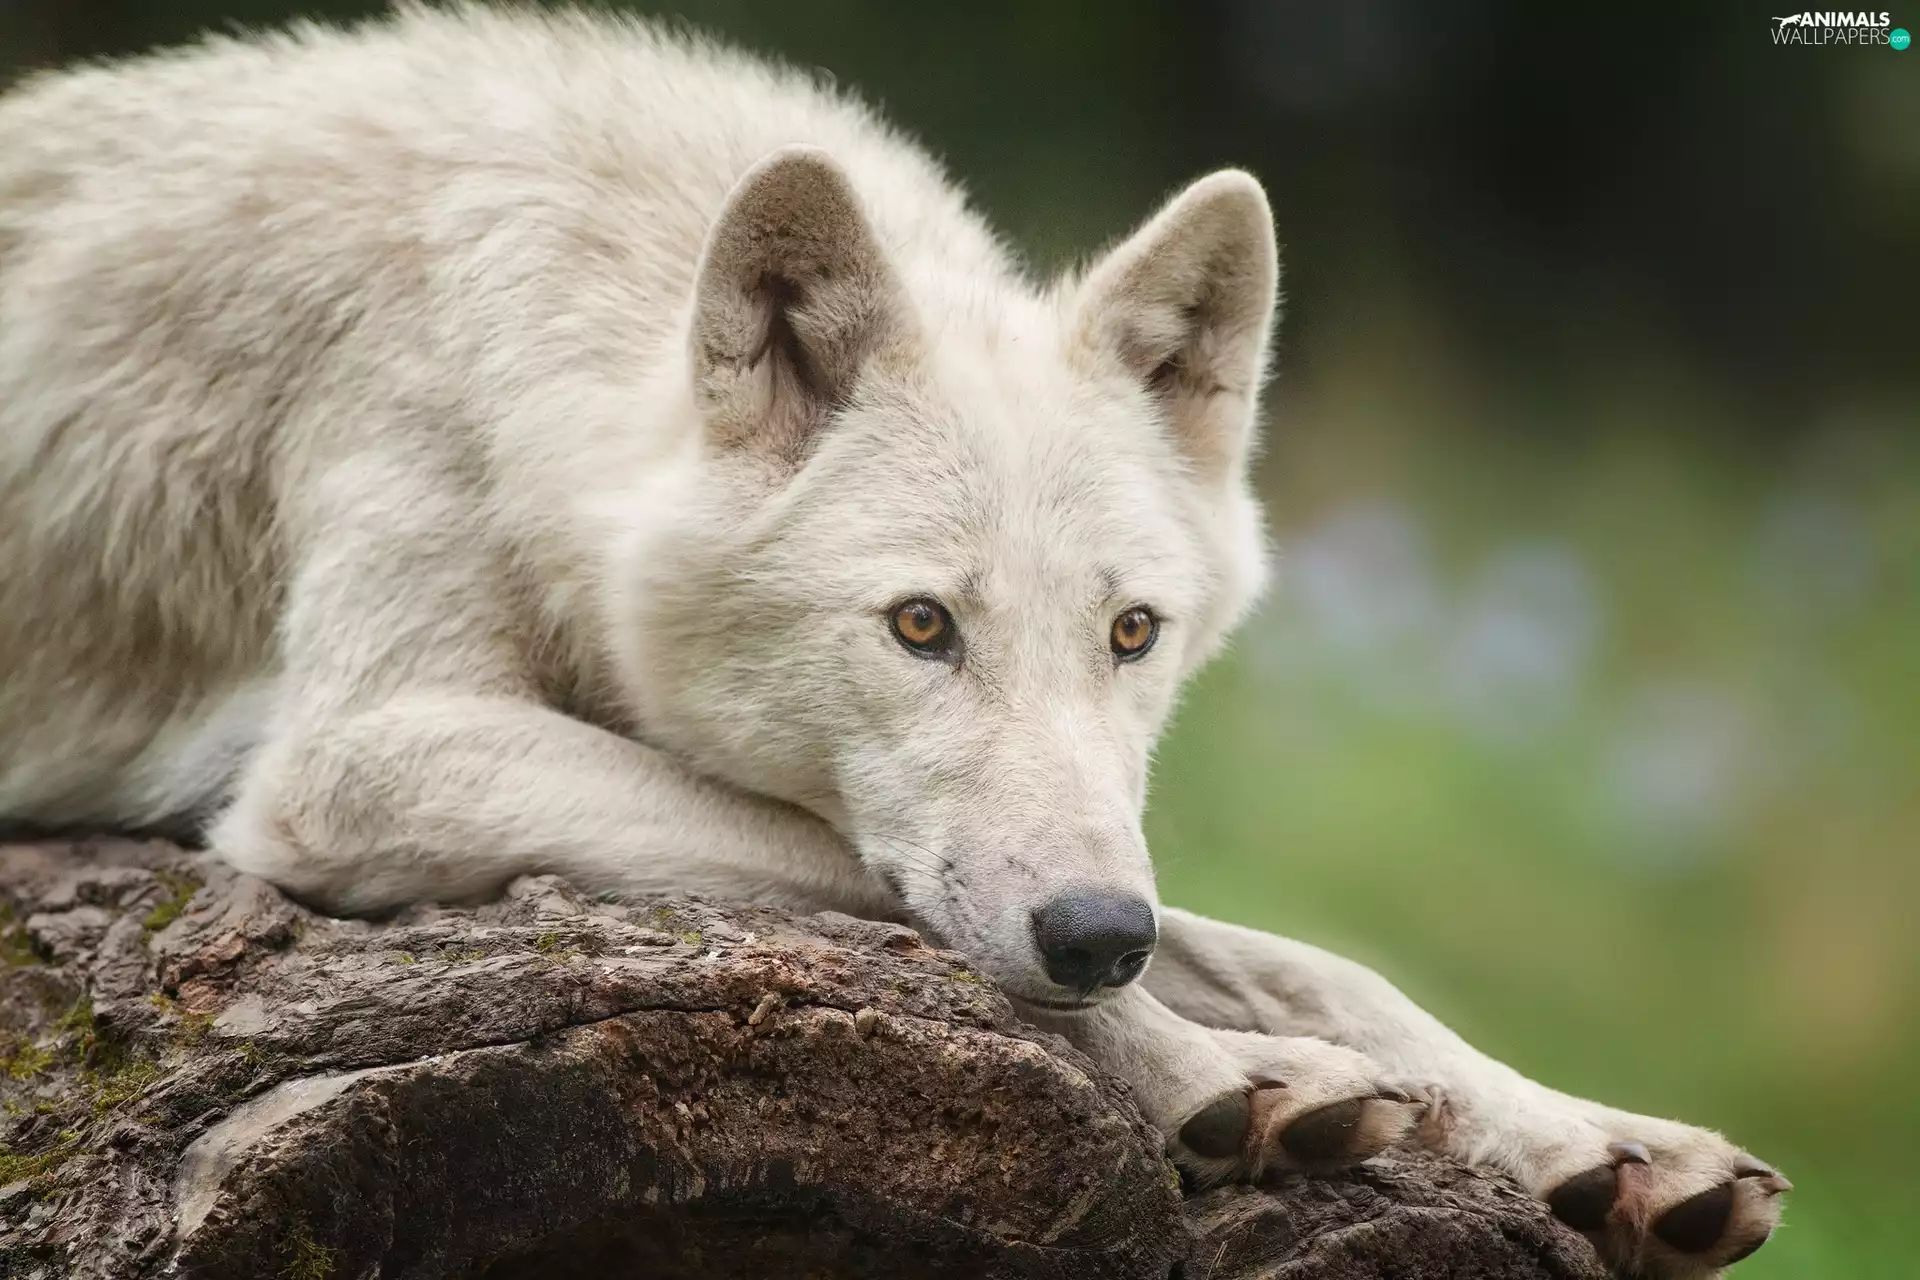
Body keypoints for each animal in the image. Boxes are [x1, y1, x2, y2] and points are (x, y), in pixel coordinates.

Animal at [0, 6, 1786, 1274]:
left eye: (1133, 632)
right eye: (921, 625)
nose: (1099, 937)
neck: (534, 341)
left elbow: (1309, 956)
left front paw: (1596, 1143)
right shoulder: (355, 759)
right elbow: (861, 876)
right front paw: (1220, 1071)